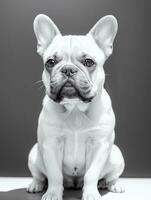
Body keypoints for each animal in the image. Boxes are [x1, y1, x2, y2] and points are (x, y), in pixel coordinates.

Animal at [26, 14, 124, 200]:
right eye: (50, 62)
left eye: (88, 62)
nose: (68, 69)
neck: (75, 109)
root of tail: (74, 183)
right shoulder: (51, 144)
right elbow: (54, 174)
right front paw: (53, 193)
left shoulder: (100, 145)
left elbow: (91, 174)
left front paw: (91, 193)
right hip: (34, 154)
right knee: (39, 175)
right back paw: (36, 185)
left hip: (116, 155)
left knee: (111, 176)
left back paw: (112, 184)